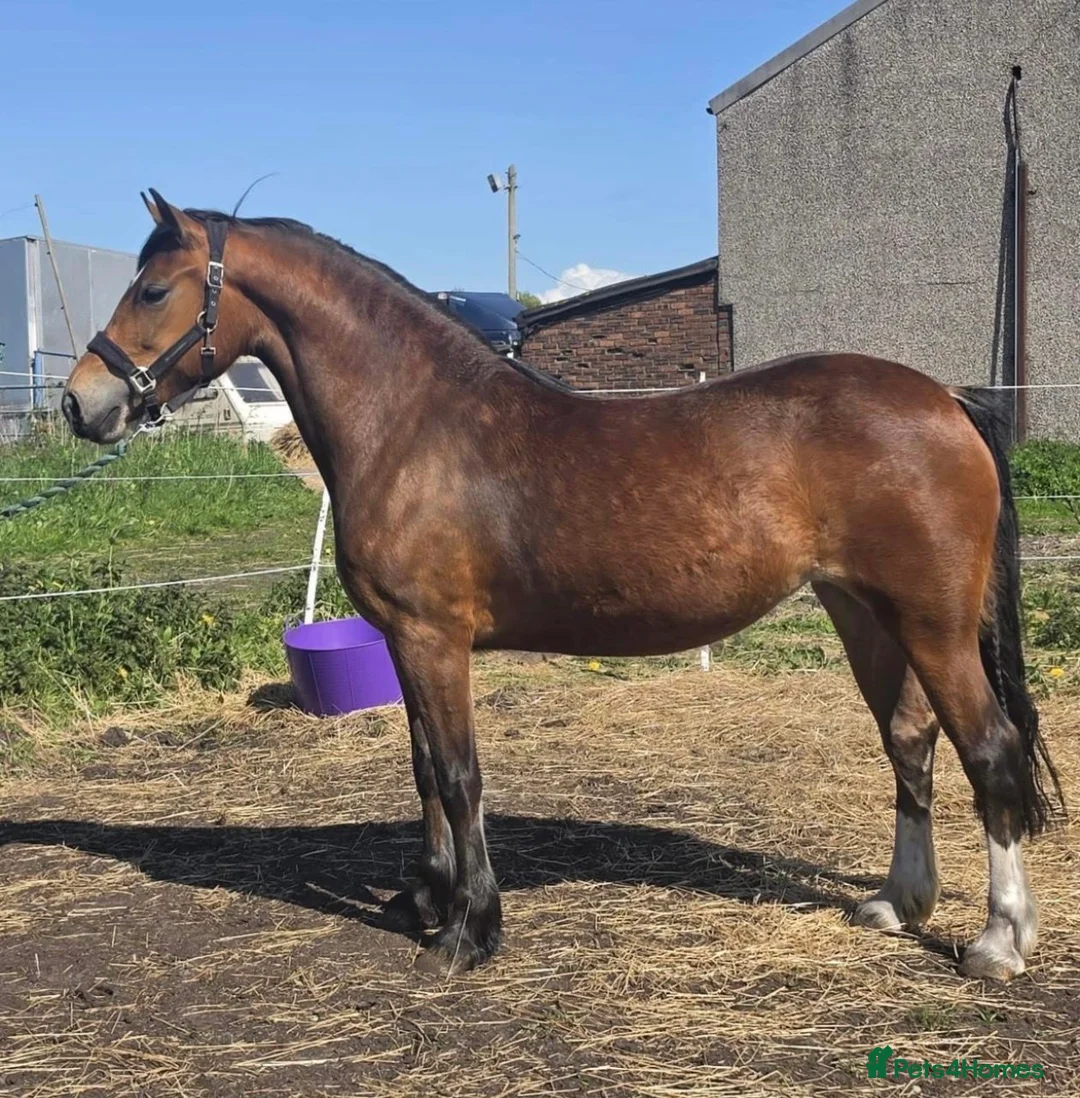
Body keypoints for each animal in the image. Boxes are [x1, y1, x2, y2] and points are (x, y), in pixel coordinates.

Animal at [62, 190, 1064, 981]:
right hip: (863, 614)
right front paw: (427, 899)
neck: (414, 422)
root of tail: (946, 401)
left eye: (154, 289)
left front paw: (468, 929)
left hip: (932, 622)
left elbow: (458, 774)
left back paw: (999, 942)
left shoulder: (433, 638)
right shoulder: (405, 641)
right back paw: (898, 903)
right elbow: (423, 769)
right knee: (909, 741)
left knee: (989, 750)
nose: (81, 403)